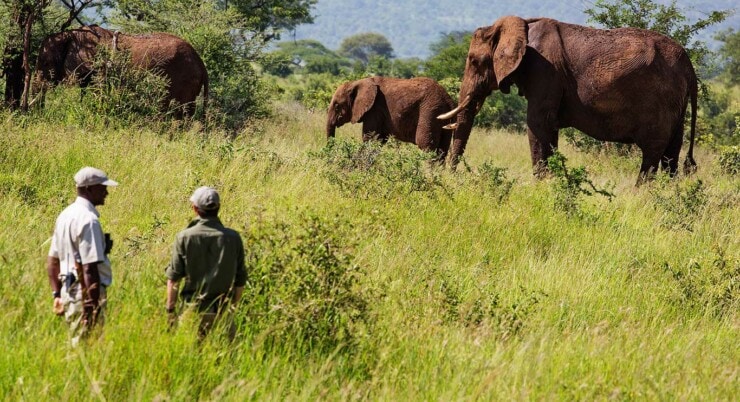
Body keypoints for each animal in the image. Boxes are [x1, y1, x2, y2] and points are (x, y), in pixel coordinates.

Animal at [33, 24, 207, 117]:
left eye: (45, 62)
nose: (38, 112)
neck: (72, 34)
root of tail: (200, 62)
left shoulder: (97, 67)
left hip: (182, 80)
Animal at [328, 76, 456, 161]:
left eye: (337, 106)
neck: (357, 82)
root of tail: (448, 98)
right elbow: (379, 140)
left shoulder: (374, 110)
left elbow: (370, 138)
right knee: (442, 150)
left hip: (430, 112)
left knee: (427, 146)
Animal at [440, 16, 700, 183]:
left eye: (474, 61)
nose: (451, 176)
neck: (521, 25)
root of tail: (689, 66)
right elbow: (549, 130)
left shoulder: (544, 71)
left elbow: (537, 124)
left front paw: (540, 185)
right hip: (676, 104)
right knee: (671, 154)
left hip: (661, 101)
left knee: (652, 152)